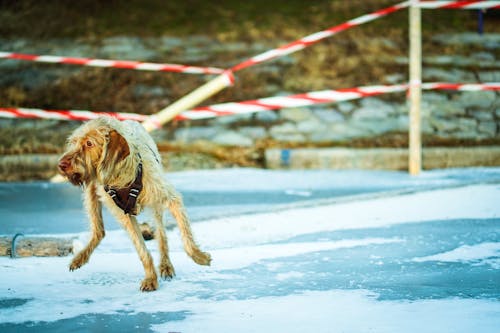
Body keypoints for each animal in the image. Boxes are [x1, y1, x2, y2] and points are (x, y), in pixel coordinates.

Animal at [58, 116, 211, 290]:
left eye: (89, 143)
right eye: (73, 142)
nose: (61, 165)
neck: (121, 176)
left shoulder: (171, 199)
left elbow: (186, 238)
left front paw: (200, 257)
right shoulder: (125, 216)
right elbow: (141, 249)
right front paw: (151, 278)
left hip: (156, 206)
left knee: (161, 234)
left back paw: (166, 264)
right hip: (91, 194)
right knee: (99, 231)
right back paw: (81, 257)